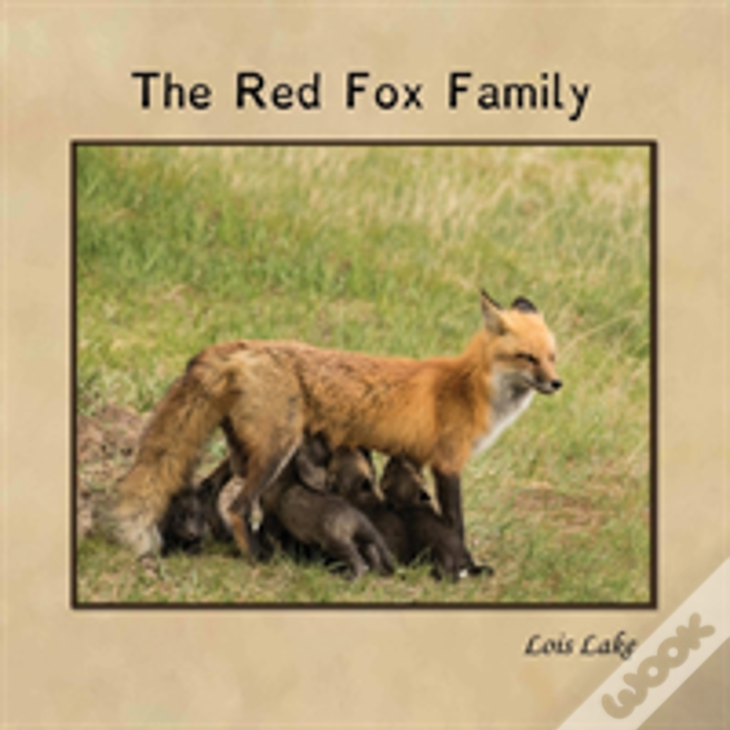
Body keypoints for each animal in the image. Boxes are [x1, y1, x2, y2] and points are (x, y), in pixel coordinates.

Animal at [113, 289, 561, 560]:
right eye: (527, 358)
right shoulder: (448, 463)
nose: (556, 384)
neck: (470, 389)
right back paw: (256, 557)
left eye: (552, 356)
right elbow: (456, 523)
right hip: (275, 450)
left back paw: (227, 541)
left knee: (209, 488)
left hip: (249, 449)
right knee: (240, 504)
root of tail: (245, 348)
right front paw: (463, 562)